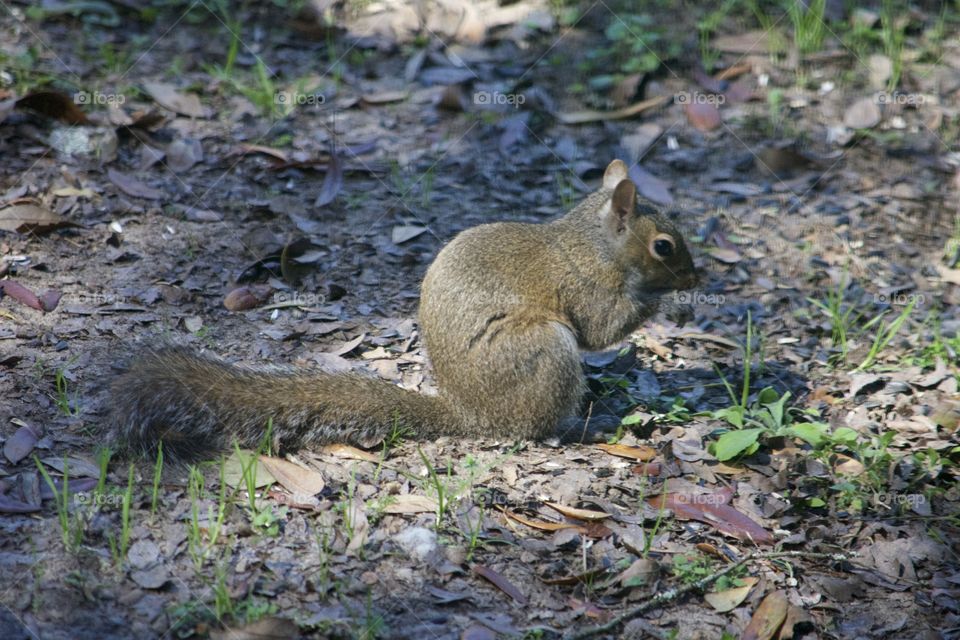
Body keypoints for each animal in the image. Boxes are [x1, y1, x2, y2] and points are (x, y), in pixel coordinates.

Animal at [108, 160, 698, 461]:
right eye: (663, 247)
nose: (697, 277)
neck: (593, 243)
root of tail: (471, 413)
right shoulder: (584, 285)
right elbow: (602, 327)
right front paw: (672, 301)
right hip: (544, 351)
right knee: (539, 427)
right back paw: (587, 428)